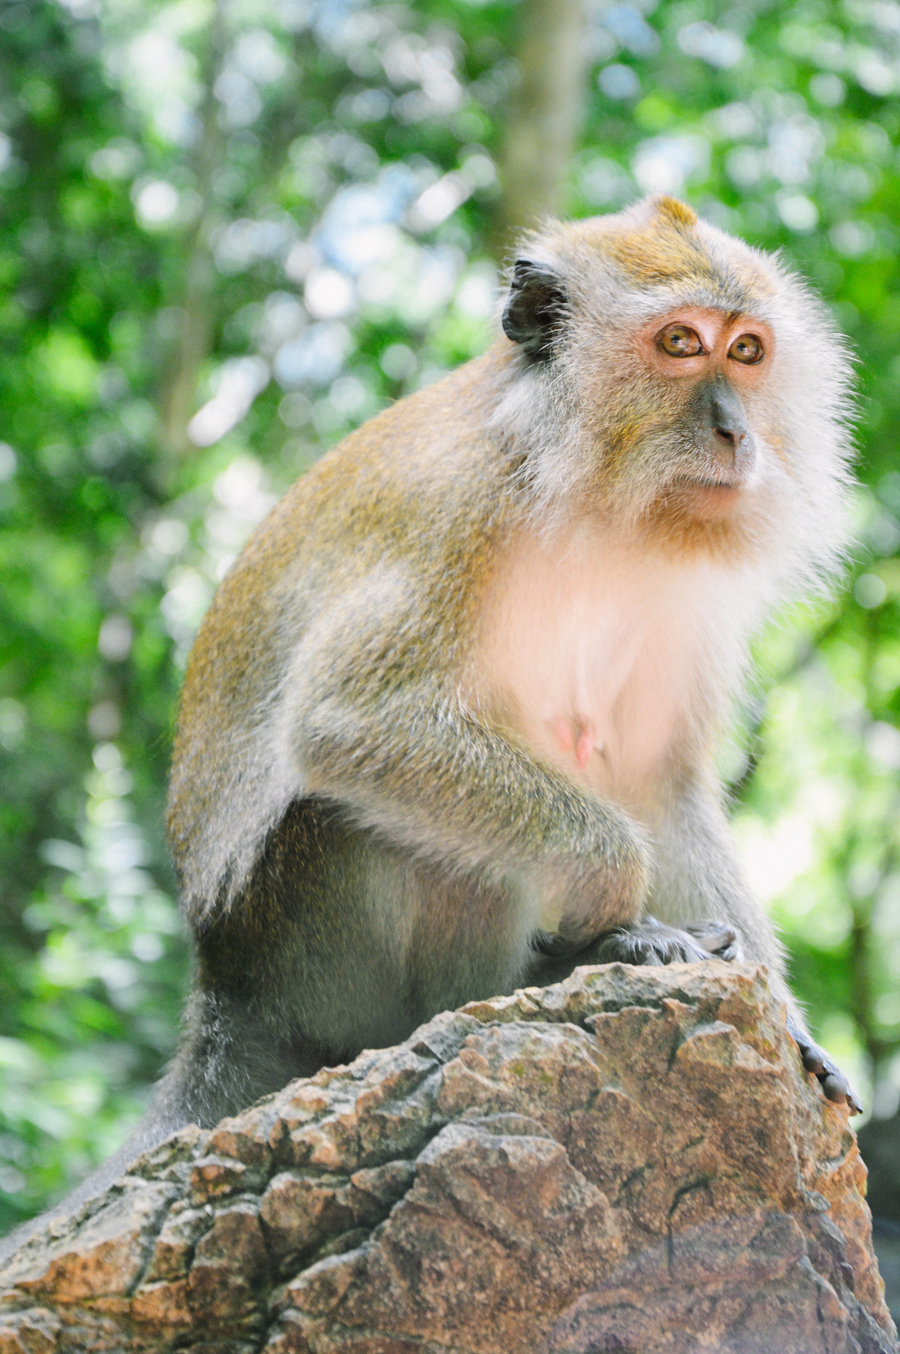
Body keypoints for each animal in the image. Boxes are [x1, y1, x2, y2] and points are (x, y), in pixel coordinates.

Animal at [2, 195, 862, 1244]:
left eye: (746, 351)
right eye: (678, 343)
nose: (739, 430)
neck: (584, 483)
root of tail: (224, 994)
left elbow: (656, 779)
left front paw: (791, 1024)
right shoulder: (459, 514)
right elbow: (350, 725)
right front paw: (618, 900)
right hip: (312, 933)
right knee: (393, 822)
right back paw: (524, 981)